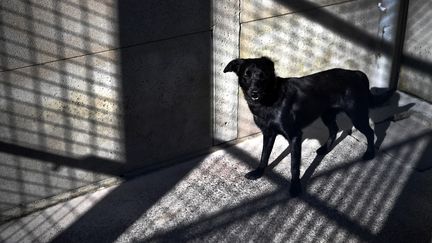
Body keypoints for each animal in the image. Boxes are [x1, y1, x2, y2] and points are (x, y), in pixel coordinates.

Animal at [224, 57, 394, 197]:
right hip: (327, 115)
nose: (255, 93)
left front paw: (295, 188)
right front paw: (259, 172)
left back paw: (370, 153)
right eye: (246, 76)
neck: (270, 98)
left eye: (263, 76)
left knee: (370, 132)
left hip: (357, 114)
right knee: (334, 129)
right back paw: (325, 149)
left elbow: (294, 165)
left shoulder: (295, 136)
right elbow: (264, 155)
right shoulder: (268, 133)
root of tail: (357, 73)